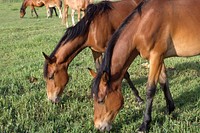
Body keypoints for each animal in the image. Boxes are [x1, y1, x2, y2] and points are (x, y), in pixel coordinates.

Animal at [91, 0, 200, 131]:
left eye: (101, 100)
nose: (98, 126)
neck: (144, 24)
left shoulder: (156, 57)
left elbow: (150, 90)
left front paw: (145, 124)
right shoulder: (158, 58)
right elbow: (163, 82)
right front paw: (169, 109)